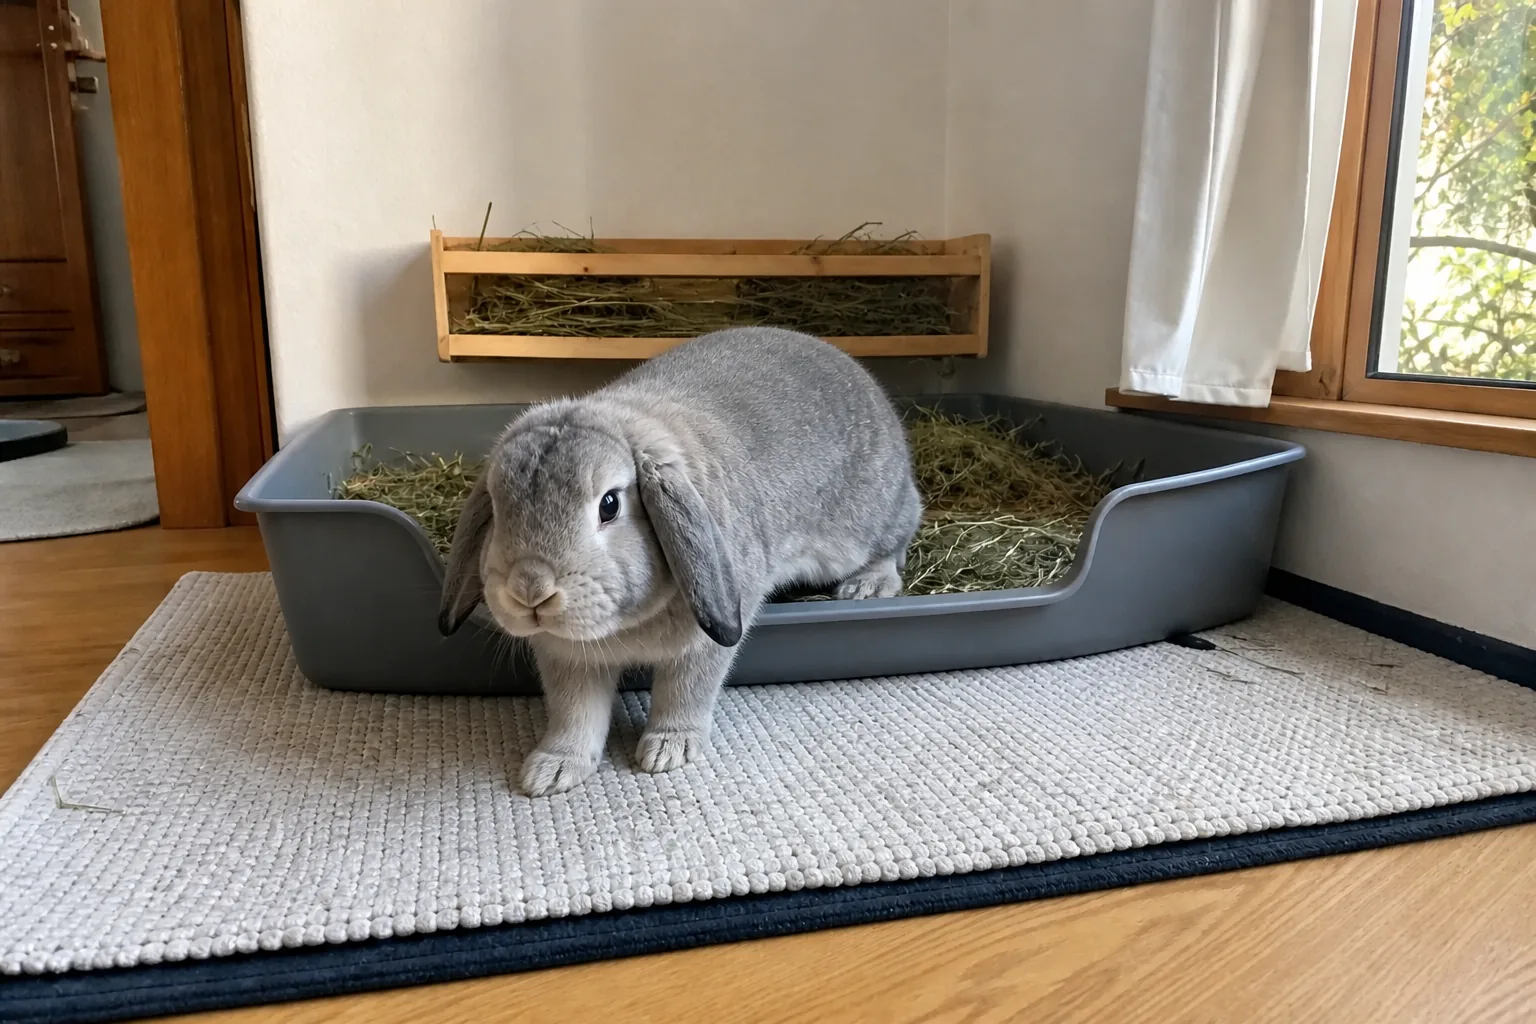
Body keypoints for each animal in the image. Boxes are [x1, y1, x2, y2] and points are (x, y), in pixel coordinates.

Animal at [438, 326, 923, 796]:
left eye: (609, 505)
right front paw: (550, 772)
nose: (530, 589)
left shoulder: (703, 644)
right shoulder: (570, 662)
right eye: (496, 507)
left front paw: (667, 751)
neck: (624, 627)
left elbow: (685, 694)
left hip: (866, 525)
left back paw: (868, 585)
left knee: (897, 536)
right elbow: (575, 715)